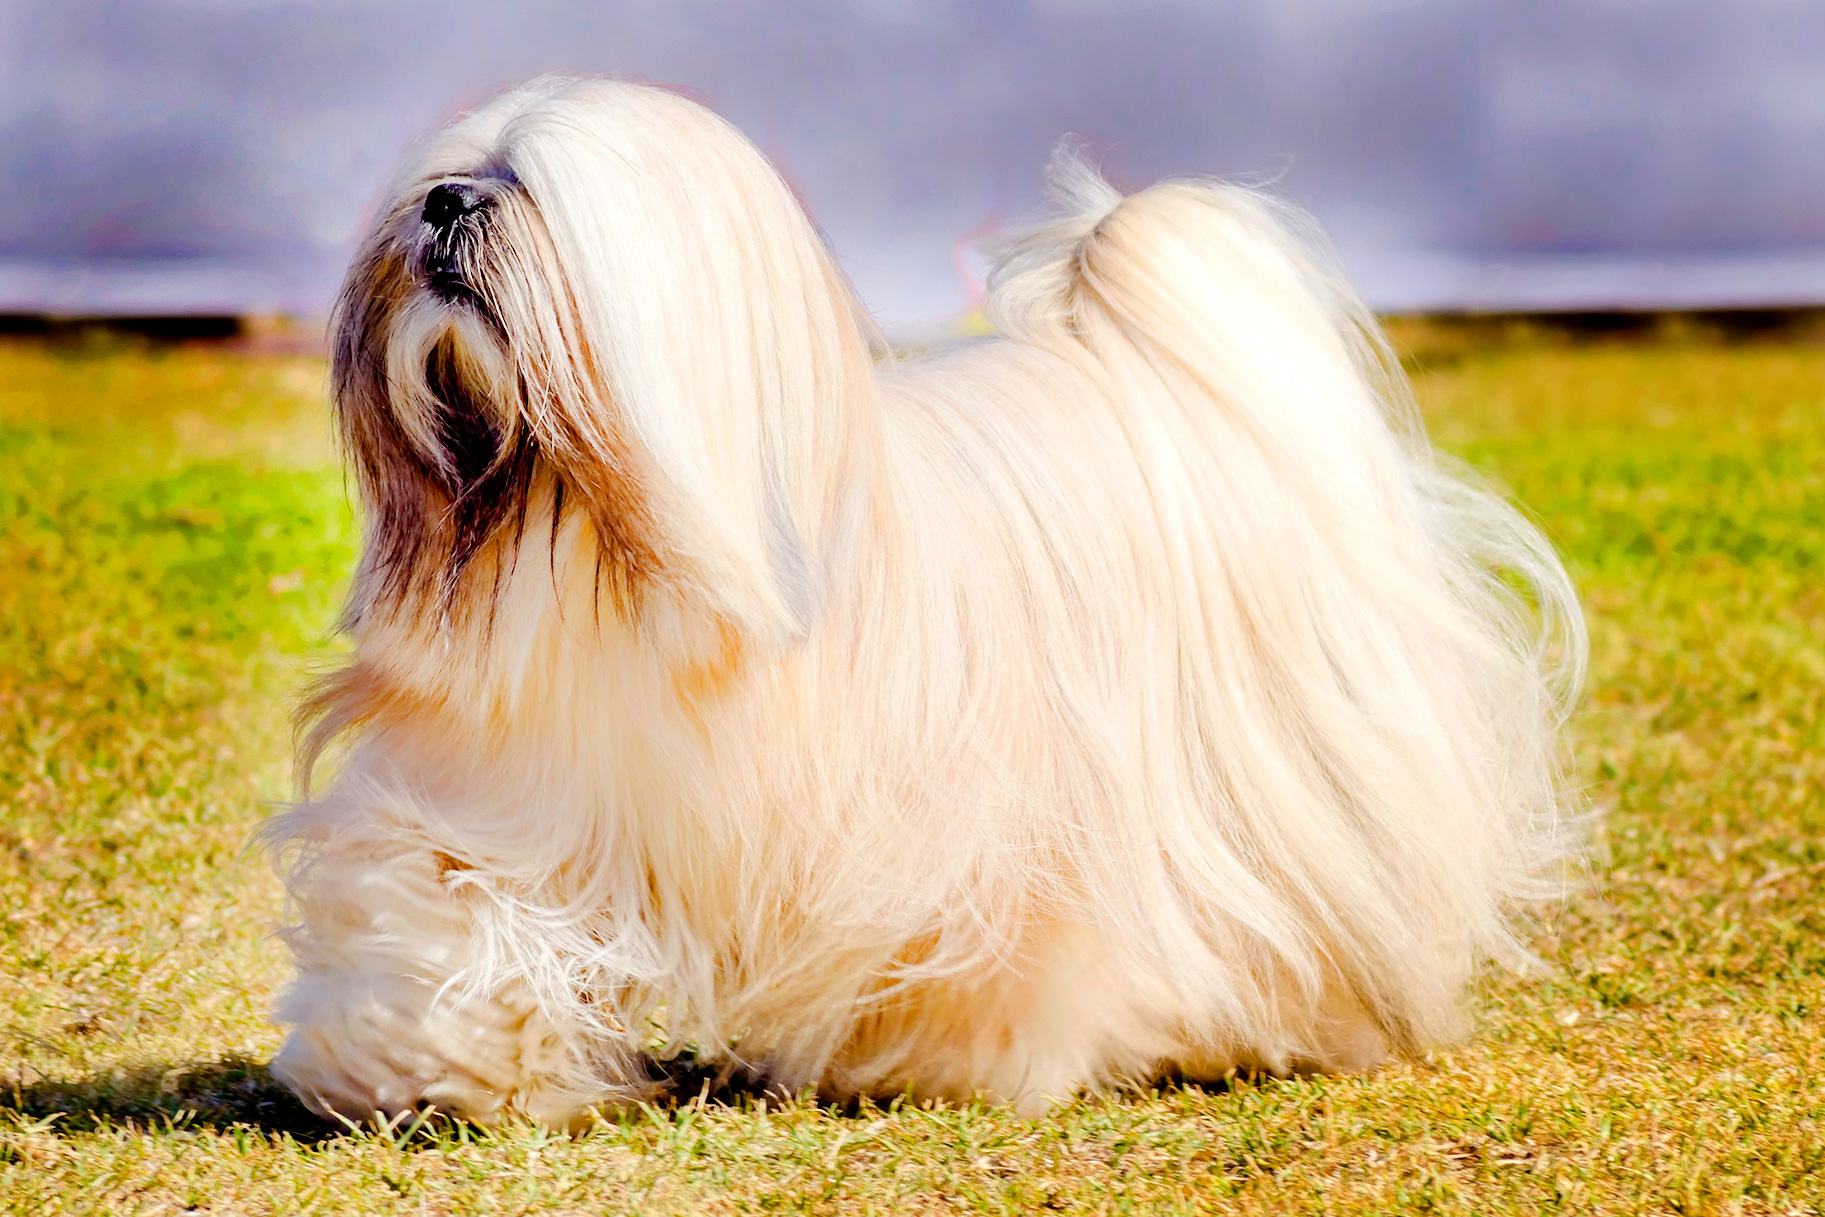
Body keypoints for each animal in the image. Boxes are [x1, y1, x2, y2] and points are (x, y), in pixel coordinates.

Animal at [260, 73, 1584, 1123]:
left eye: (521, 189)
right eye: (447, 178)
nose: (443, 204)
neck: (603, 541)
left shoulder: (961, 836)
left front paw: (954, 1060)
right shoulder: (503, 786)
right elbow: (440, 912)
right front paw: (425, 1069)